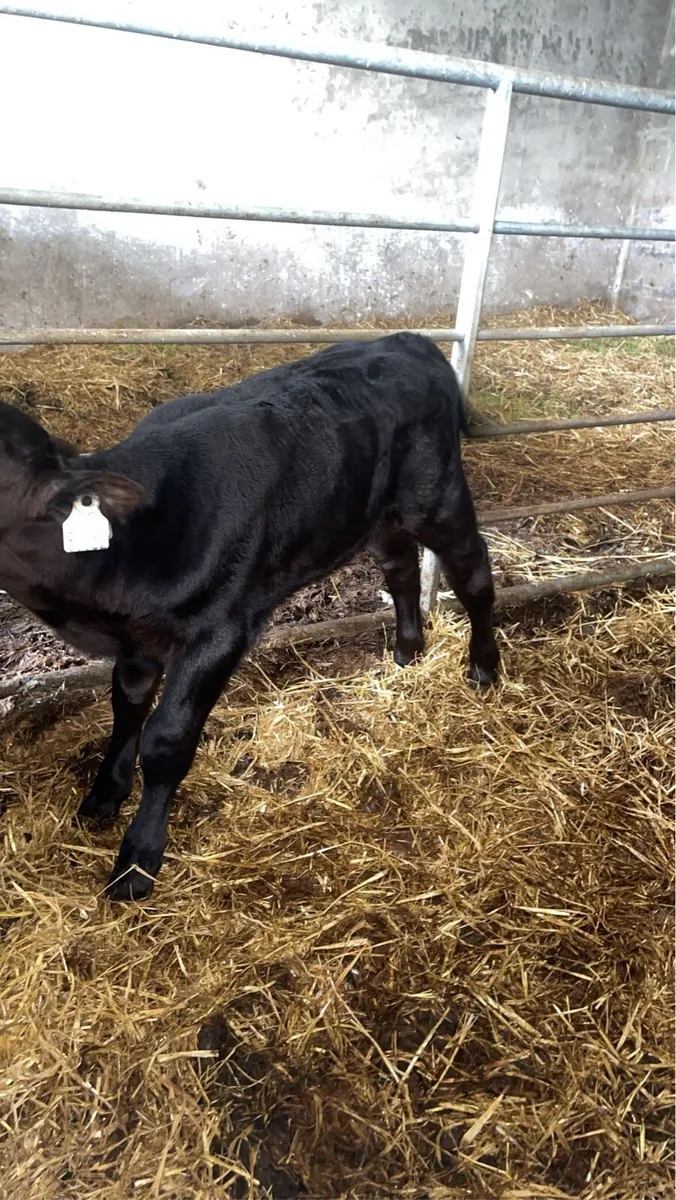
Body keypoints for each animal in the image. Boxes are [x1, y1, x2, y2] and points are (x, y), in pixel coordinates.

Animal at [0, 333, 499, 901]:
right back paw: (407, 652)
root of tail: (406, 339)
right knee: (401, 571)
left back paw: (483, 666)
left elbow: (166, 740)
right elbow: (126, 708)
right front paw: (104, 794)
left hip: (438, 498)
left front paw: (137, 861)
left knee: (473, 575)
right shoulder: (136, 638)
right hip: (374, 515)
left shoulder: (218, 633)